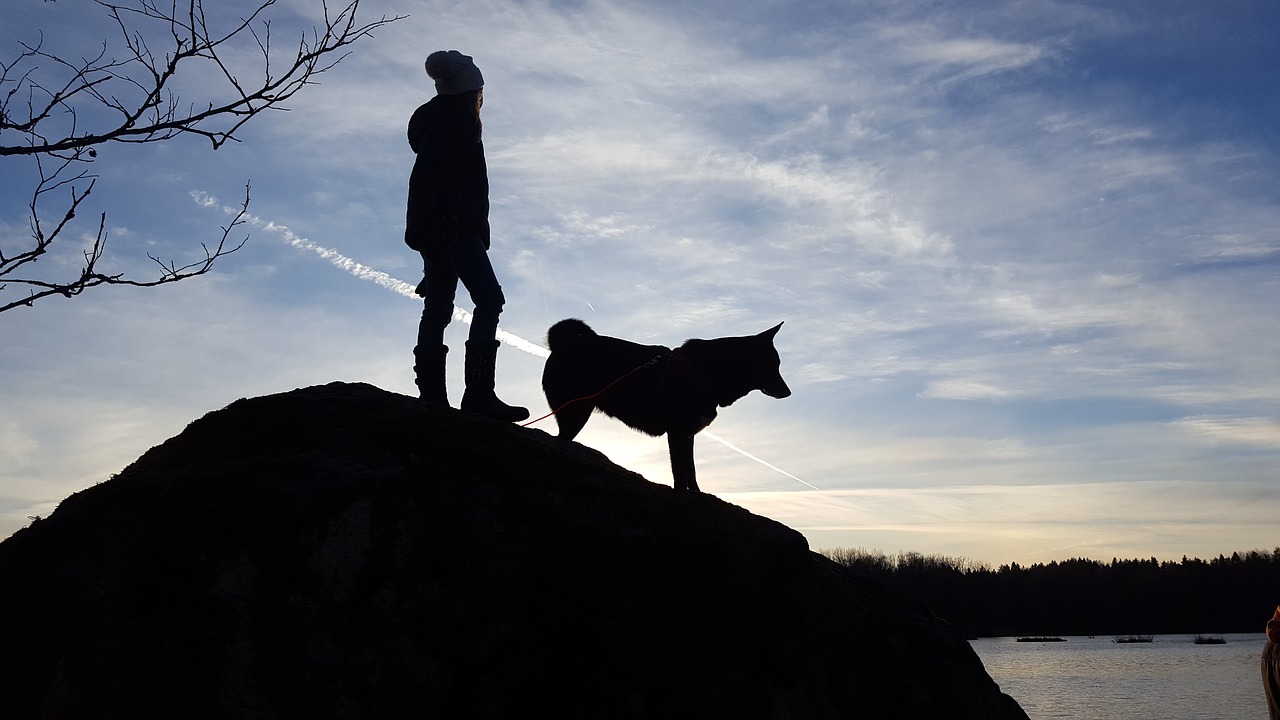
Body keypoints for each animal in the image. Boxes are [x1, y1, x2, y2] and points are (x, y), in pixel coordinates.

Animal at [542, 317, 788, 489]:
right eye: (773, 364)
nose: (788, 392)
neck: (705, 372)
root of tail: (564, 344)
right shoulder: (677, 434)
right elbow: (680, 476)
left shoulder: (688, 436)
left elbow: (691, 472)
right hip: (574, 412)